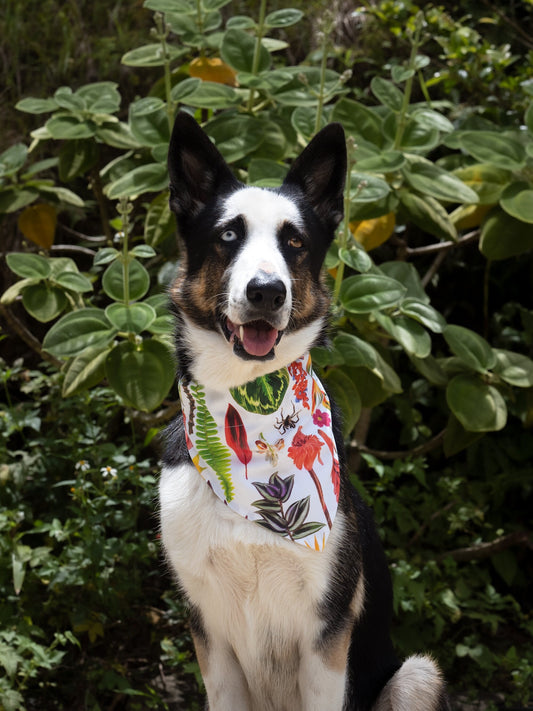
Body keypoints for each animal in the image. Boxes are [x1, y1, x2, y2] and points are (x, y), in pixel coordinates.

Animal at [159, 112, 448, 711]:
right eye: (228, 236)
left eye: (294, 242)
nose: (266, 291)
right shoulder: (210, 637)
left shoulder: (326, 637)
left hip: (416, 674)